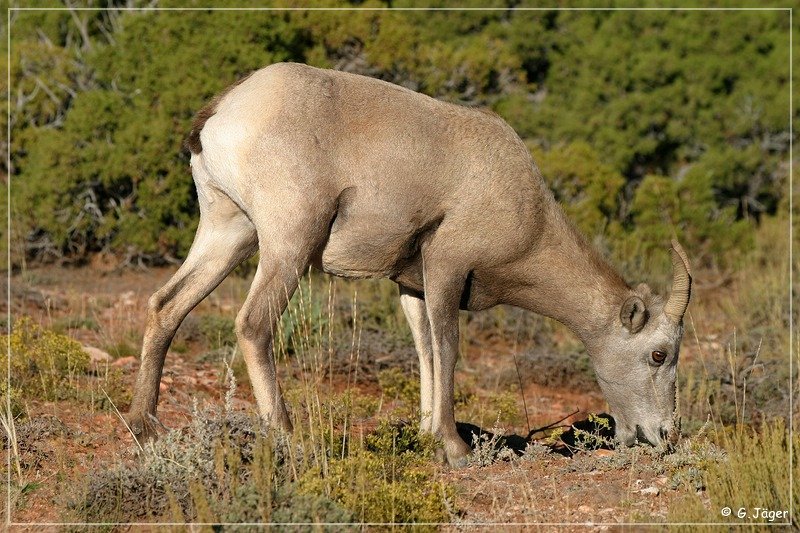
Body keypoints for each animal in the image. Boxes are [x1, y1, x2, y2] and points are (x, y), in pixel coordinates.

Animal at [128, 62, 692, 466]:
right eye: (659, 353)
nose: (662, 436)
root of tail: (222, 112)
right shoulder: (446, 267)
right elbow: (448, 348)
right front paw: (456, 449)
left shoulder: (412, 286)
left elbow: (424, 351)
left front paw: (426, 436)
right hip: (289, 242)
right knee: (253, 324)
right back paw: (290, 439)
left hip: (229, 233)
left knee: (165, 306)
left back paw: (145, 427)